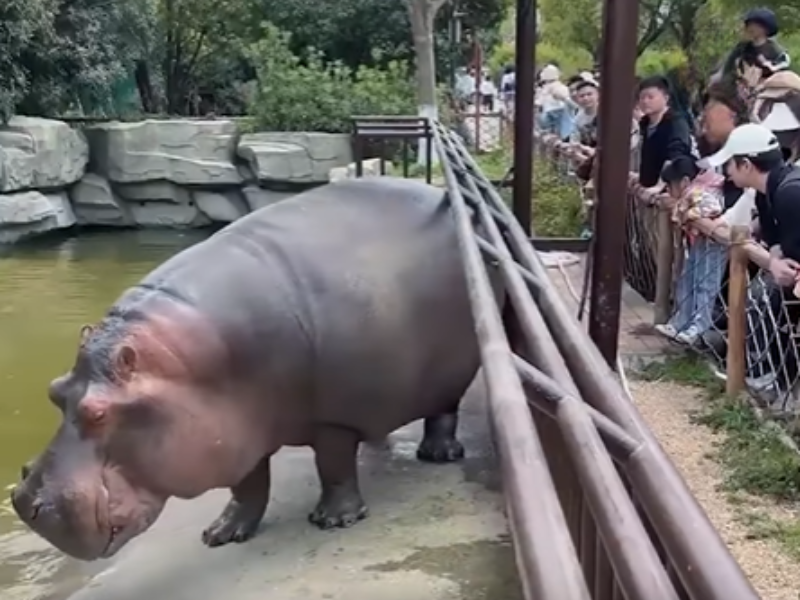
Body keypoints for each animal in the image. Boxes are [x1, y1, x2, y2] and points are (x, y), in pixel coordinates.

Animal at [11, 176, 503, 561]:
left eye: (98, 413)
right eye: (55, 390)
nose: (22, 500)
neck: (190, 365)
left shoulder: (330, 419)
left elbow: (333, 464)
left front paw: (334, 521)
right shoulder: (235, 431)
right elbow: (248, 486)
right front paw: (221, 535)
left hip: (454, 369)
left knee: (442, 411)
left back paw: (437, 454)